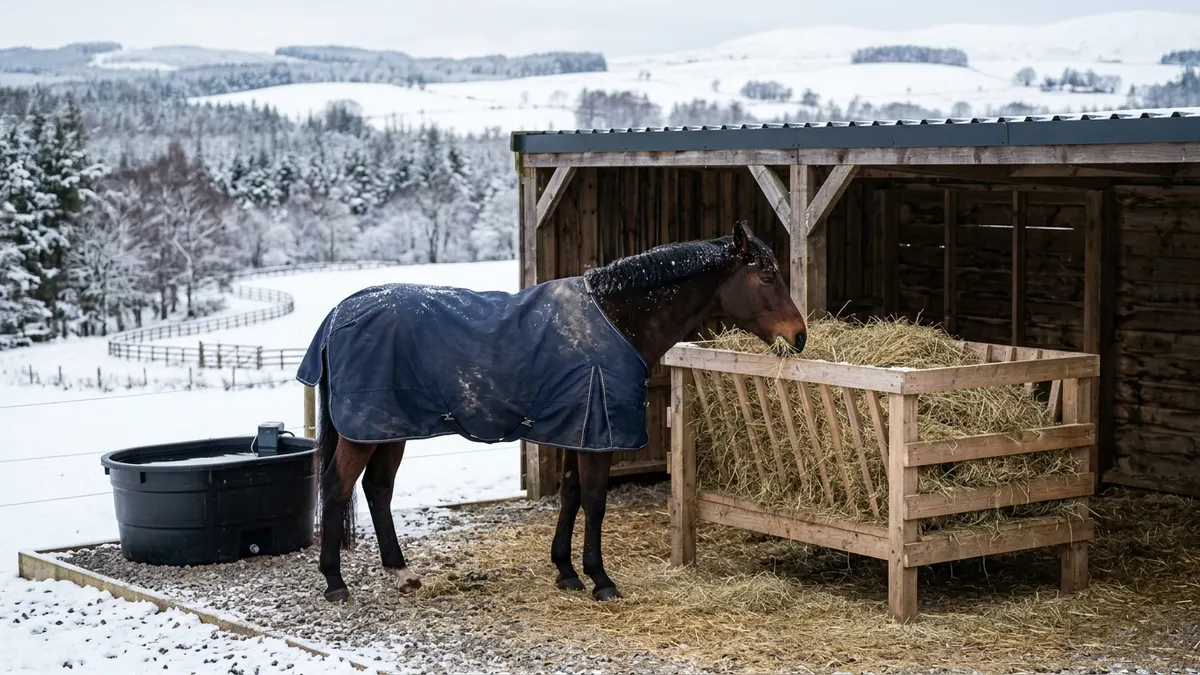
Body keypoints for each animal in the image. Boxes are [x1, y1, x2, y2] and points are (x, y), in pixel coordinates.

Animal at [297, 220, 808, 604]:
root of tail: (341, 313)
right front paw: (600, 579)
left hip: (387, 428)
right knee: (338, 487)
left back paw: (401, 573)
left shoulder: (575, 430)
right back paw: (335, 583)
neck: (616, 318)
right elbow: (596, 501)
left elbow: (570, 495)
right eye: (766, 277)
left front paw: (565, 571)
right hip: (364, 432)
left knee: (377, 490)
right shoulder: (599, 435)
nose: (799, 335)